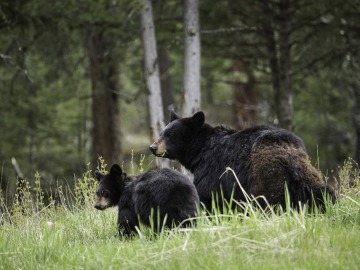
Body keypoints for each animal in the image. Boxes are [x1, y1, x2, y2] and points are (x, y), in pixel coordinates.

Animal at [149, 110, 334, 212]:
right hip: (308, 177)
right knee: (323, 193)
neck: (199, 151)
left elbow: (208, 195)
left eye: (170, 135)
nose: (152, 147)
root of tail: (291, 157)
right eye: (161, 133)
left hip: (267, 177)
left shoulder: (212, 169)